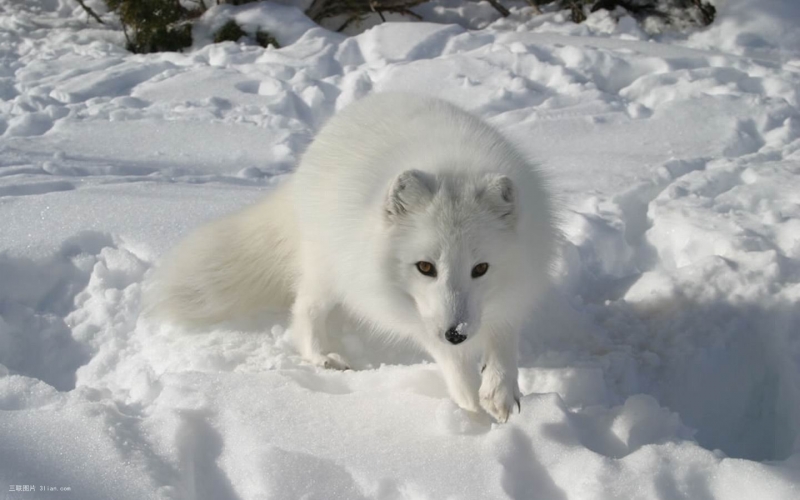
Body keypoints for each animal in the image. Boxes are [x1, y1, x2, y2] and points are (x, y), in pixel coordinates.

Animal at [153, 94, 560, 422]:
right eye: (425, 267)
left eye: (481, 269)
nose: (456, 333)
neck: (455, 165)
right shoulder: (406, 308)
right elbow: (449, 358)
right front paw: (469, 401)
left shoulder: (514, 289)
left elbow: (502, 339)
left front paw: (499, 391)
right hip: (328, 270)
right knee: (304, 310)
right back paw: (322, 356)